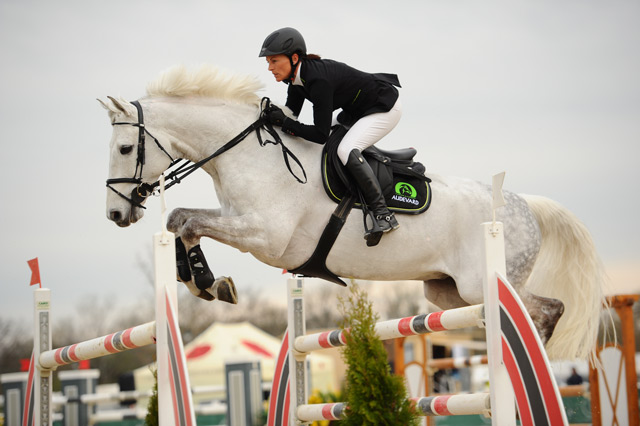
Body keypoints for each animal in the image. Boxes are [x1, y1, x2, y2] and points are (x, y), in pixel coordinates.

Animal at [101, 65, 604, 360]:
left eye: (125, 148)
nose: (115, 215)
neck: (249, 153)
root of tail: (522, 203)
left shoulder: (265, 237)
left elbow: (188, 221)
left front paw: (207, 281)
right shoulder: (239, 222)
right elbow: (179, 220)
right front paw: (202, 280)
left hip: (483, 281)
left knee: (548, 308)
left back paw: (540, 354)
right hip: (447, 292)